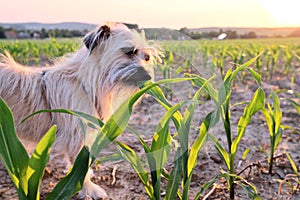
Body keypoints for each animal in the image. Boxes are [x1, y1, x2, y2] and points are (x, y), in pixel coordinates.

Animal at [0, 22, 162, 198]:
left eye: (146, 57)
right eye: (129, 52)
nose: (148, 77)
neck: (87, 83)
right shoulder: (77, 139)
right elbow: (79, 168)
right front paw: (89, 188)